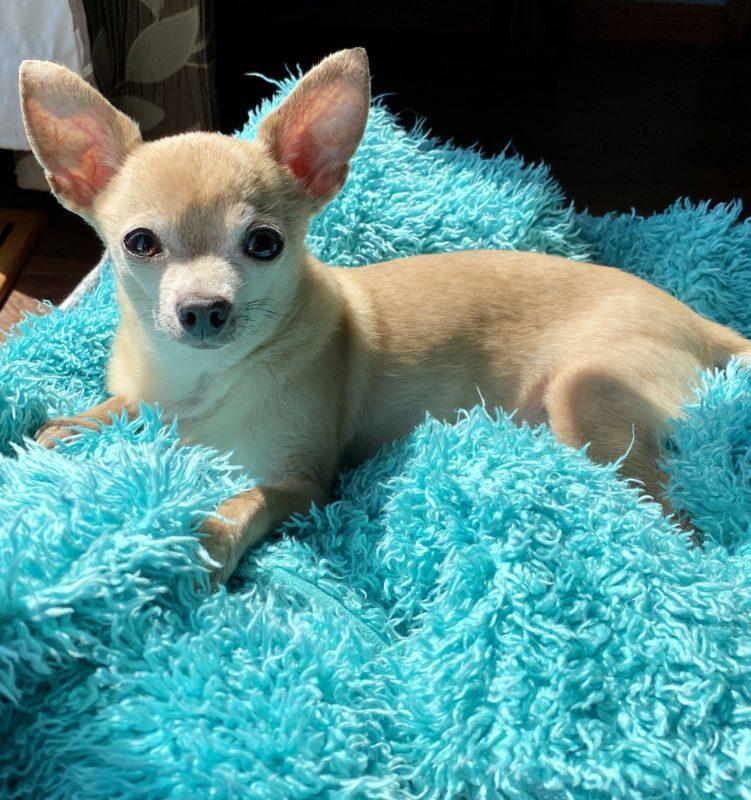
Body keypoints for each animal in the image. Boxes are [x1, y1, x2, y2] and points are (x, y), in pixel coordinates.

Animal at [20, 48, 748, 580]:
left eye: (264, 244)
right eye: (139, 243)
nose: (203, 309)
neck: (198, 381)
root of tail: (692, 318)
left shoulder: (303, 483)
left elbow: (244, 500)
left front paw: (205, 543)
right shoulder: (149, 394)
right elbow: (116, 408)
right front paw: (66, 428)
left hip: (586, 398)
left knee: (671, 521)